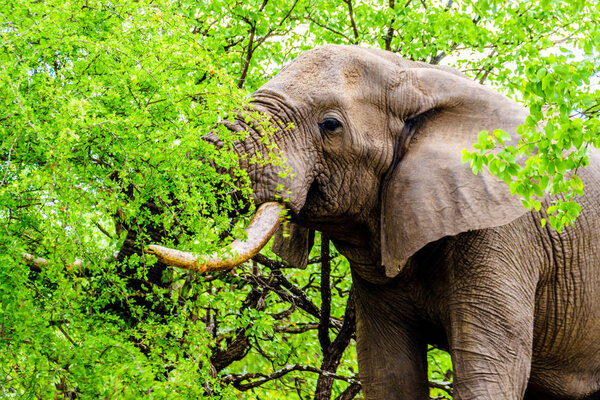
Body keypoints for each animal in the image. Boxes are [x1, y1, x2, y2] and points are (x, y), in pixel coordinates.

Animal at [148, 45, 600, 398]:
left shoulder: (502, 230)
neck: (418, 78)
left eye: (330, 125)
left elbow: (488, 372)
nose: (148, 248)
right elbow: (388, 373)